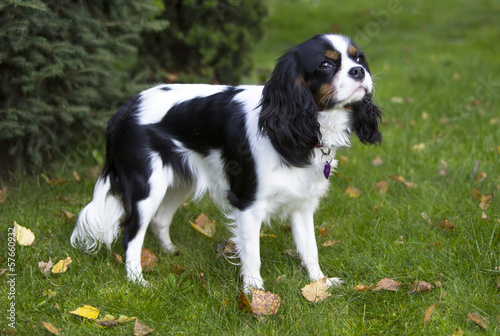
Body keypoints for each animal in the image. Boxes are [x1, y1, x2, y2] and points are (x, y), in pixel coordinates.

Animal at [71, 34, 382, 292]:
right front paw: (256, 295)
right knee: (131, 233)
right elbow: (253, 256)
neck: (301, 126)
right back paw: (137, 281)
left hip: (178, 182)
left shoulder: (303, 203)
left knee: (159, 219)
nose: (359, 72)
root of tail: (125, 108)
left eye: (358, 59)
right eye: (326, 64)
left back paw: (170, 252)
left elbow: (310, 247)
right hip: (148, 187)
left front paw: (320, 283)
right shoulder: (248, 205)